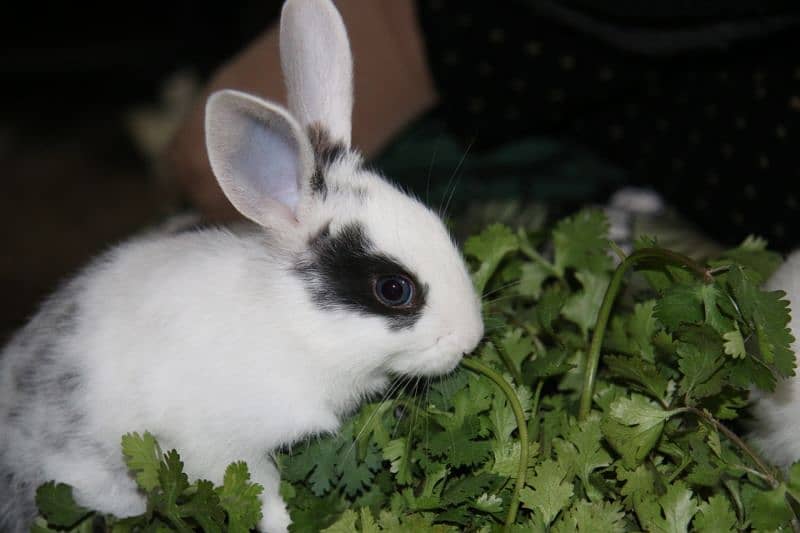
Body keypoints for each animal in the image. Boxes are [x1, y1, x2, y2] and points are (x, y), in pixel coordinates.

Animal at [0, 1, 482, 532]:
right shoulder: (215, 446)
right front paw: (287, 525)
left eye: (436, 222)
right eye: (394, 289)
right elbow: (263, 496)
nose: (472, 338)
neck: (296, 328)